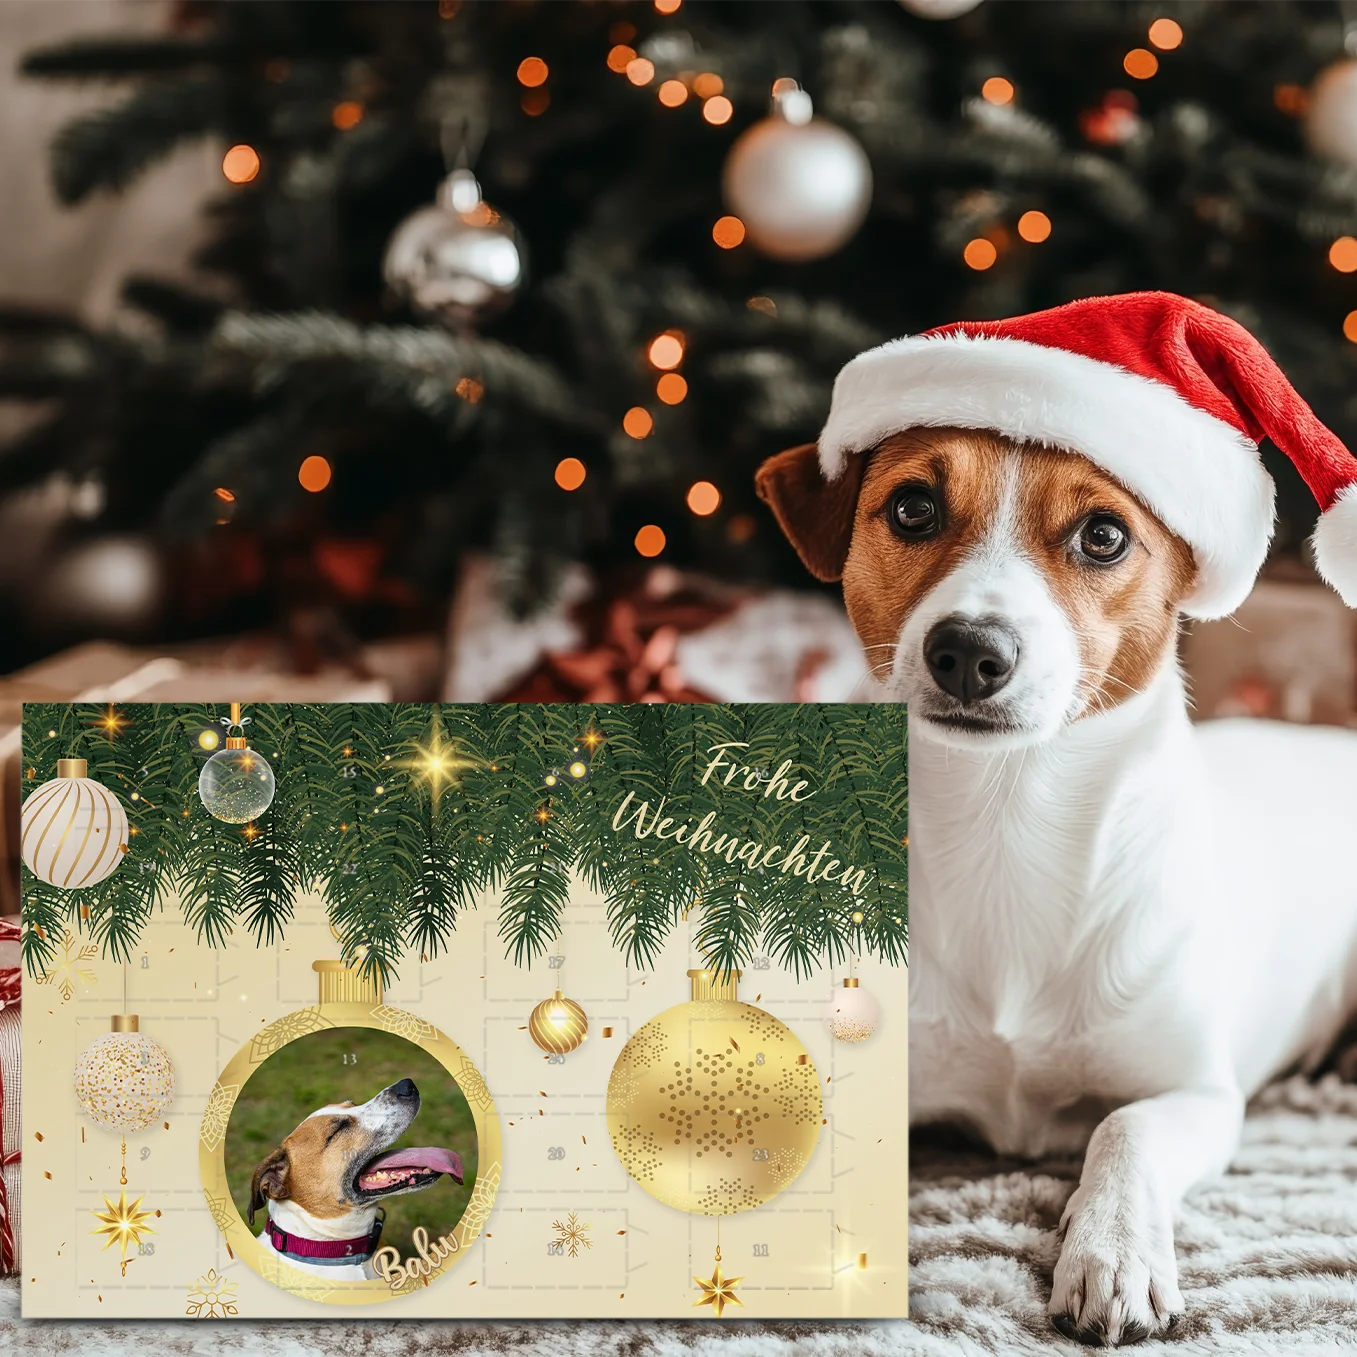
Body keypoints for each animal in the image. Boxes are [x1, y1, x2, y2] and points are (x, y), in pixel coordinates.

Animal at [759, 294, 1351, 1346]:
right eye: (911, 508)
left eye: (1104, 536)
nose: (968, 650)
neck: (1009, 826)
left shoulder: (1199, 1092)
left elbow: (1124, 1126)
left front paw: (1111, 1253)